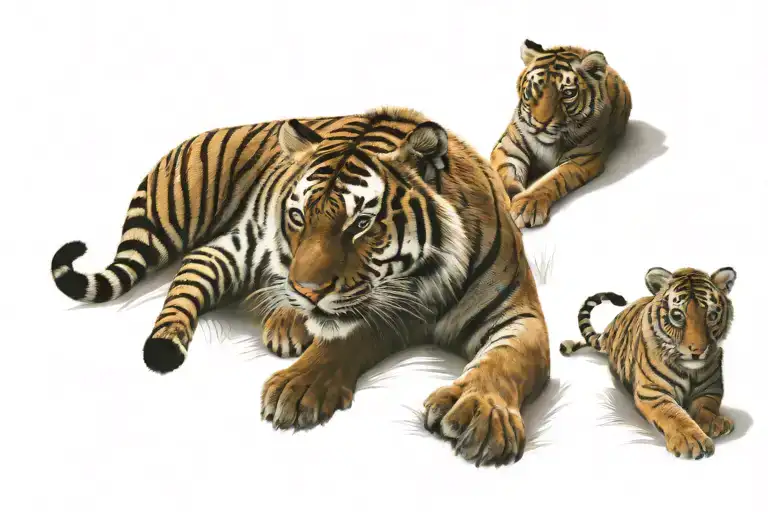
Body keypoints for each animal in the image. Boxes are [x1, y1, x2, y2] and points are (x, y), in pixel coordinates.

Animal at [50, 106, 551, 466]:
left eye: (361, 223)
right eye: (297, 217)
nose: (309, 289)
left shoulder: (518, 315)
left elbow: (504, 361)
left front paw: (481, 412)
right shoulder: (384, 310)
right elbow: (344, 337)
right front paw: (299, 387)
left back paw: (288, 319)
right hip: (193, 227)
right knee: (196, 262)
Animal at [491, 39, 632, 228]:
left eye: (568, 93)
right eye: (532, 90)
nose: (541, 124)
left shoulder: (581, 159)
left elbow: (552, 179)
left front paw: (526, 206)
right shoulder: (508, 149)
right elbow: (505, 177)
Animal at [559, 266, 737, 459]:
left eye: (712, 315)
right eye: (677, 316)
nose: (698, 350)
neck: (691, 371)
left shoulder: (711, 388)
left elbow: (706, 406)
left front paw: (714, 422)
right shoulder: (652, 392)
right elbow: (673, 414)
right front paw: (691, 440)